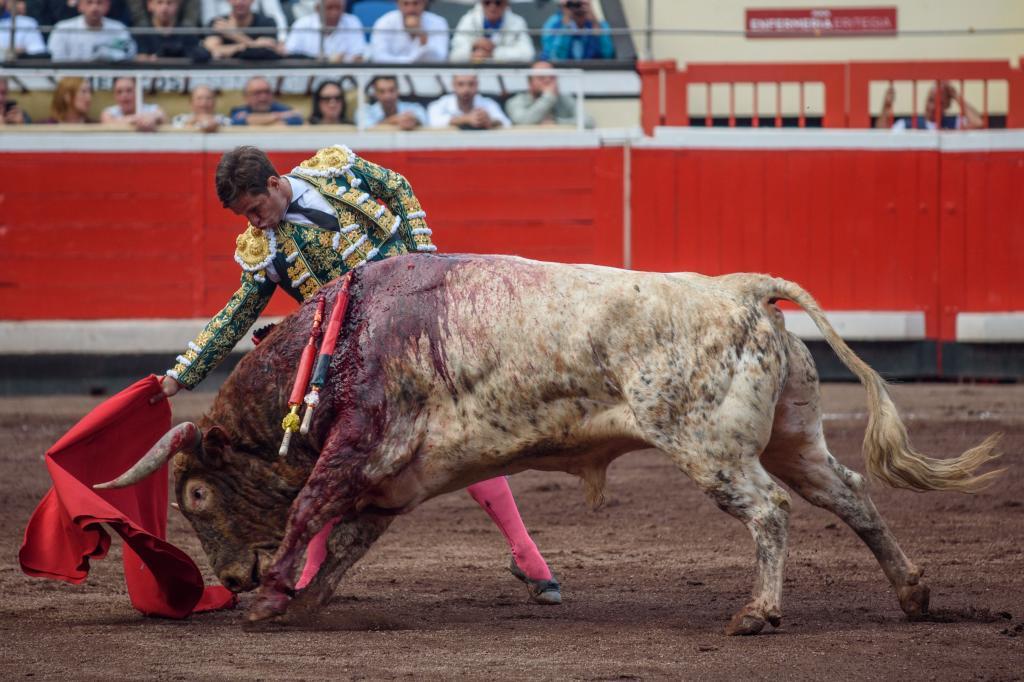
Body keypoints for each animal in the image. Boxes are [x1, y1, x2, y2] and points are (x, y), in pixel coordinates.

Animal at [99, 251, 995, 634]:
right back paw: (913, 595)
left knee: (770, 513)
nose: (229, 578)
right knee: (849, 495)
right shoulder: (391, 483)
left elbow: (306, 511)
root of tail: (742, 288)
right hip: (792, 437)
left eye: (196, 493)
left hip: (710, 448)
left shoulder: (354, 451)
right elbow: (346, 539)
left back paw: (758, 613)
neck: (339, 338)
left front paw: (271, 598)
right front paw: (304, 598)